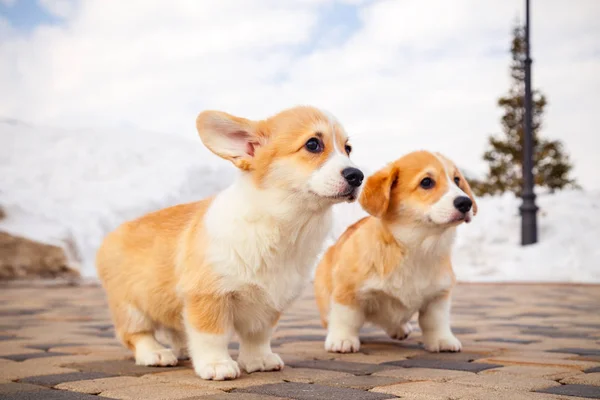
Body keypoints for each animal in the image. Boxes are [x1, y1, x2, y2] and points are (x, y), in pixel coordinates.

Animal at [96, 104, 364, 380]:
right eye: (313, 144)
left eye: (348, 148)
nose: (358, 176)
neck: (283, 225)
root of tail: (112, 235)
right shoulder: (208, 295)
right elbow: (211, 336)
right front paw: (216, 365)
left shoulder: (268, 303)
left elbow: (258, 336)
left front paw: (259, 360)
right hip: (130, 306)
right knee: (135, 334)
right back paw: (156, 353)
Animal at [314, 150, 478, 354]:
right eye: (426, 182)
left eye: (457, 180)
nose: (466, 203)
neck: (415, 247)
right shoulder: (347, 290)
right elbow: (346, 318)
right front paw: (342, 340)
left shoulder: (438, 296)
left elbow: (435, 322)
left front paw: (443, 340)